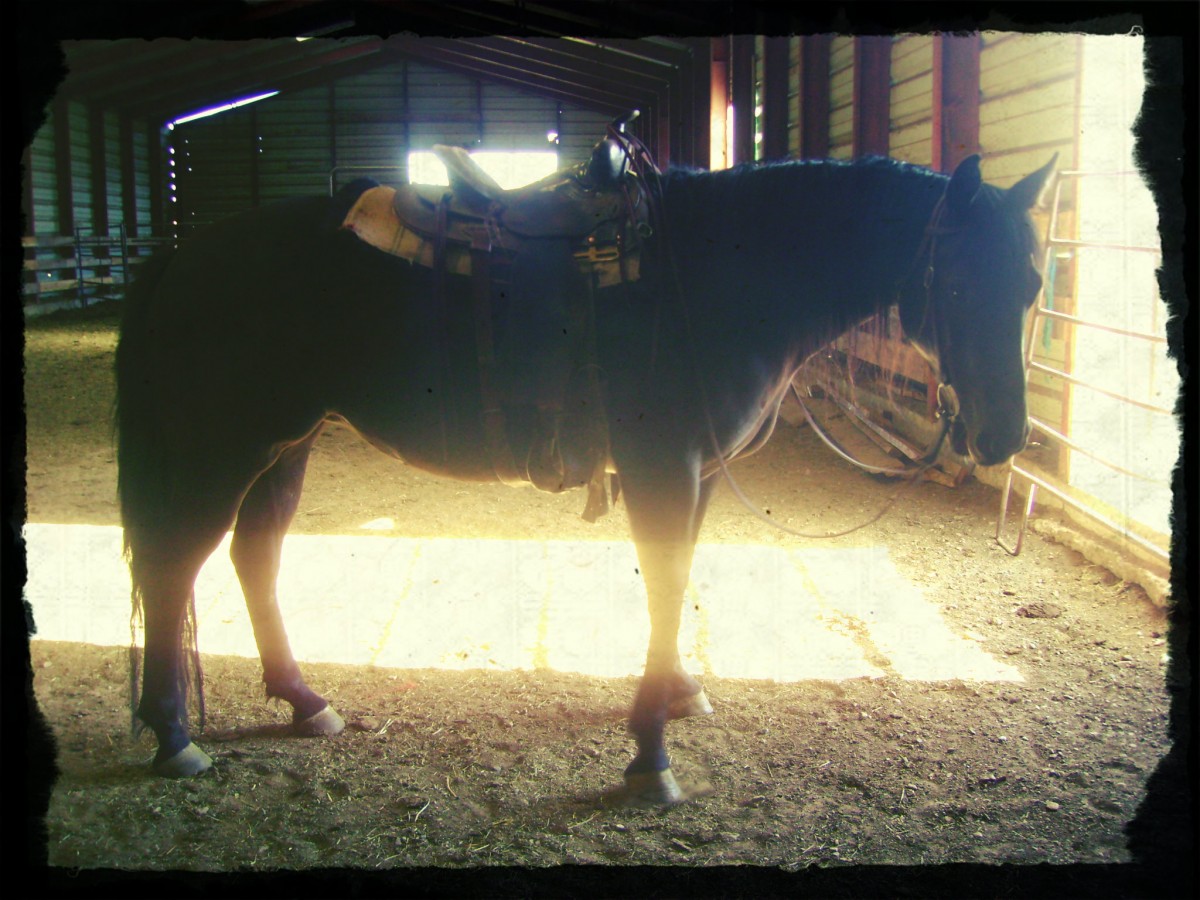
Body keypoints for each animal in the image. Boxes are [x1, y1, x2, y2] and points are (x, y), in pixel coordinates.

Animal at [112, 153, 1051, 801]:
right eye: (956, 282)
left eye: (1034, 284)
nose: (1002, 434)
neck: (719, 274)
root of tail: (187, 253)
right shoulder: (662, 465)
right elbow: (665, 589)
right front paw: (650, 757)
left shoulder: (699, 472)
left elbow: (679, 583)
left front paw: (676, 696)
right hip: (225, 443)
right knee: (173, 564)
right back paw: (173, 735)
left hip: (287, 441)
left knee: (254, 557)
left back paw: (302, 700)